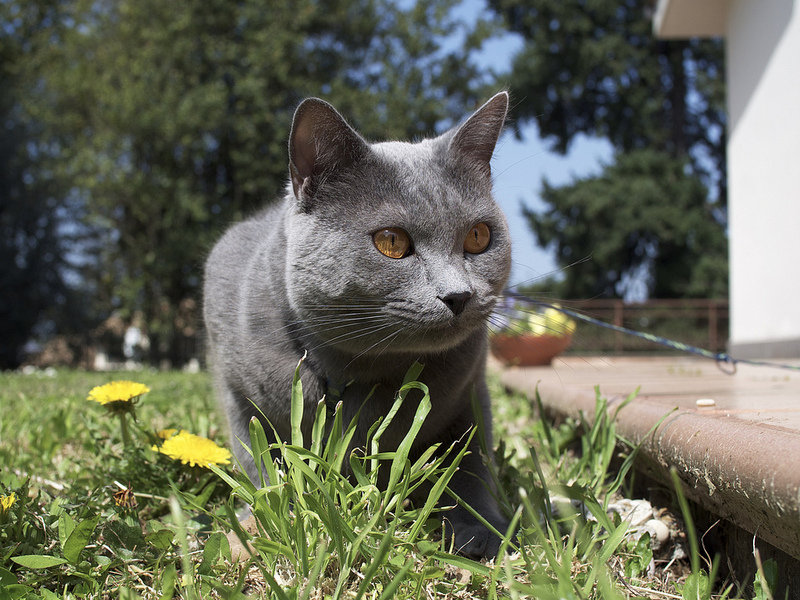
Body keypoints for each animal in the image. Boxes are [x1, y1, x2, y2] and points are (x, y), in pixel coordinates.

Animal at [203, 91, 510, 560]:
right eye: (391, 242)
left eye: (479, 236)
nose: (459, 295)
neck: (356, 372)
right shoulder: (237, 392)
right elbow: (260, 463)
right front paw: (259, 526)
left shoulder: (470, 392)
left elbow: (470, 465)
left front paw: (481, 533)